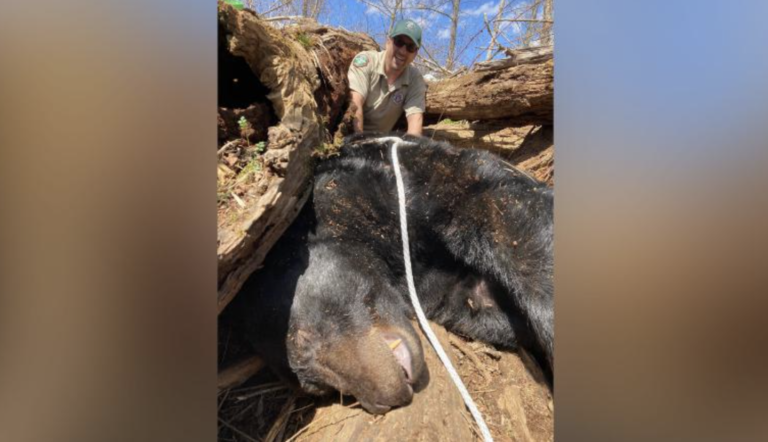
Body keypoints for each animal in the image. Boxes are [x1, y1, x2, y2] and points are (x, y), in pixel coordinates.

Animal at [225, 134, 556, 414]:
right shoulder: (438, 289)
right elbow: (477, 306)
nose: (384, 402)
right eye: (321, 390)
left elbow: (506, 213)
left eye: (305, 339)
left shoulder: (405, 181)